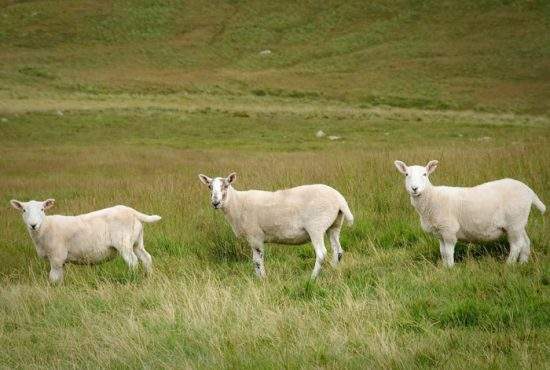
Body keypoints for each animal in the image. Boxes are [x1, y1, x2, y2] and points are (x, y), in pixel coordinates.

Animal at [9, 199, 161, 284]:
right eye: (23, 210)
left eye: (42, 209)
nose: (33, 225)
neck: (45, 227)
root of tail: (132, 212)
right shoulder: (60, 261)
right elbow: (59, 277)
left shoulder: (57, 257)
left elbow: (53, 278)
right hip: (137, 242)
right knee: (146, 258)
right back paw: (149, 277)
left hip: (124, 242)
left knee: (133, 261)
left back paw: (132, 279)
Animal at [198, 172, 354, 278]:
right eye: (209, 186)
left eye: (226, 186)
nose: (215, 202)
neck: (237, 203)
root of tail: (339, 199)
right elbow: (256, 260)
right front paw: (258, 278)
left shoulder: (255, 235)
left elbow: (257, 260)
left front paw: (262, 279)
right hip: (334, 225)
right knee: (338, 251)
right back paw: (333, 271)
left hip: (316, 227)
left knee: (321, 253)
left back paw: (313, 278)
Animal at [396, 159, 548, 266]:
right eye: (406, 174)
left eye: (425, 174)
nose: (414, 188)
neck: (432, 198)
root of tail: (528, 191)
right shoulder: (440, 233)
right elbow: (443, 252)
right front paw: (445, 268)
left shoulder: (449, 230)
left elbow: (449, 253)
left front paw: (450, 269)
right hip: (519, 222)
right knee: (525, 242)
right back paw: (523, 263)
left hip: (514, 222)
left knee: (517, 245)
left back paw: (509, 265)